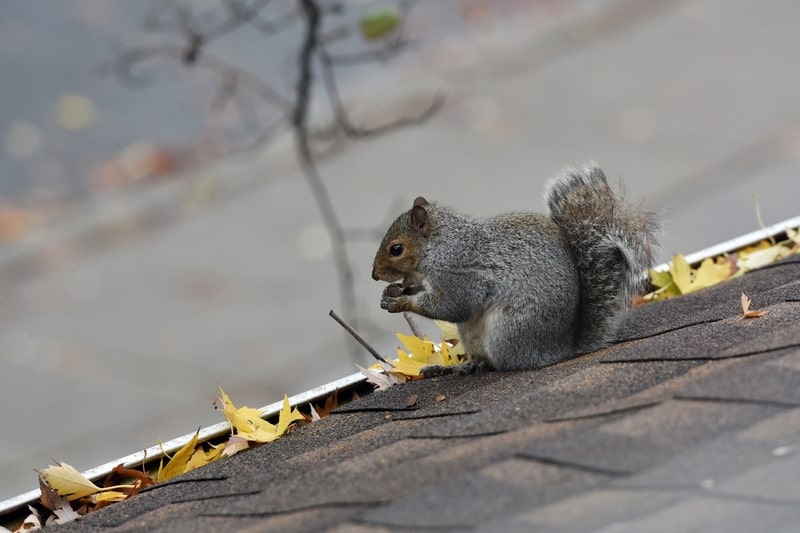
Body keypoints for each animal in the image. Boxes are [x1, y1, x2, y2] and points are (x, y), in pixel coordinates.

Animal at [371, 163, 659, 374]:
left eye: (396, 249)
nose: (375, 275)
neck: (438, 246)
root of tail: (561, 348)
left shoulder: (458, 273)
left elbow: (453, 306)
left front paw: (401, 303)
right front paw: (392, 292)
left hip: (507, 330)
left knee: (501, 363)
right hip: (471, 334)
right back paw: (461, 366)